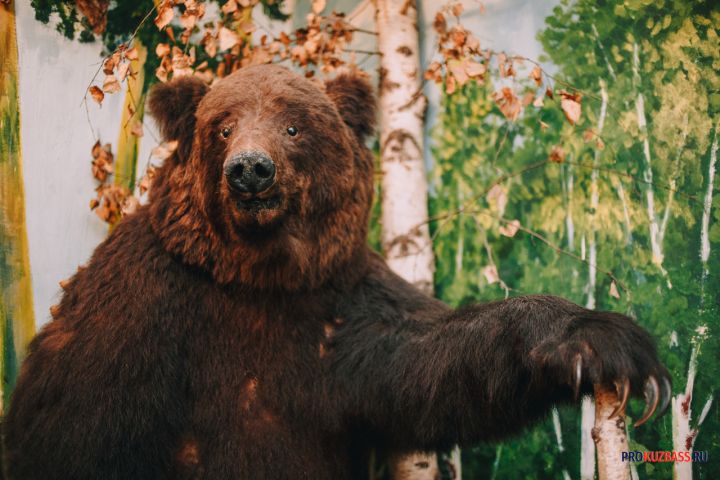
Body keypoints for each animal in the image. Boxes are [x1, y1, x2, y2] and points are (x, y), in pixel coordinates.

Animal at [4, 64, 668, 480]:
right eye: (223, 125)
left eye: (293, 124)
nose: (251, 169)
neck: (259, 277)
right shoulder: (146, 301)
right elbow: (76, 428)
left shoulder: (338, 309)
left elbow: (428, 358)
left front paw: (601, 339)